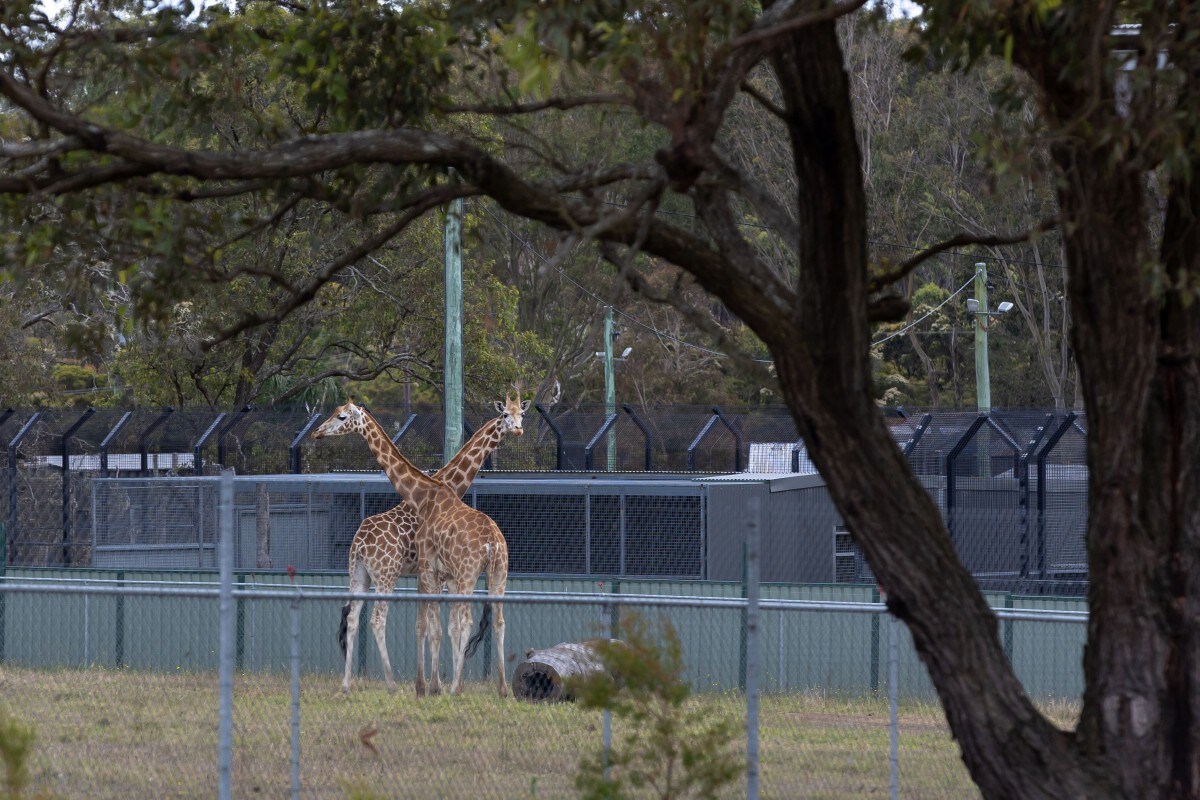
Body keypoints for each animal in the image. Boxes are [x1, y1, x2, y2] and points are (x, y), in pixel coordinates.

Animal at [312, 398, 518, 695]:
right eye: (506, 416)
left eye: (341, 416)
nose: (317, 432)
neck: (447, 484)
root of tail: (359, 543)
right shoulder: (437, 575)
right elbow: (437, 627)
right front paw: (436, 684)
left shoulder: (435, 576)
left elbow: (437, 626)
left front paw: (437, 682)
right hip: (386, 576)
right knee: (378, 620)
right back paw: (392, 684)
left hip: (359, 574)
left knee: (353, 619)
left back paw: (347, 684)